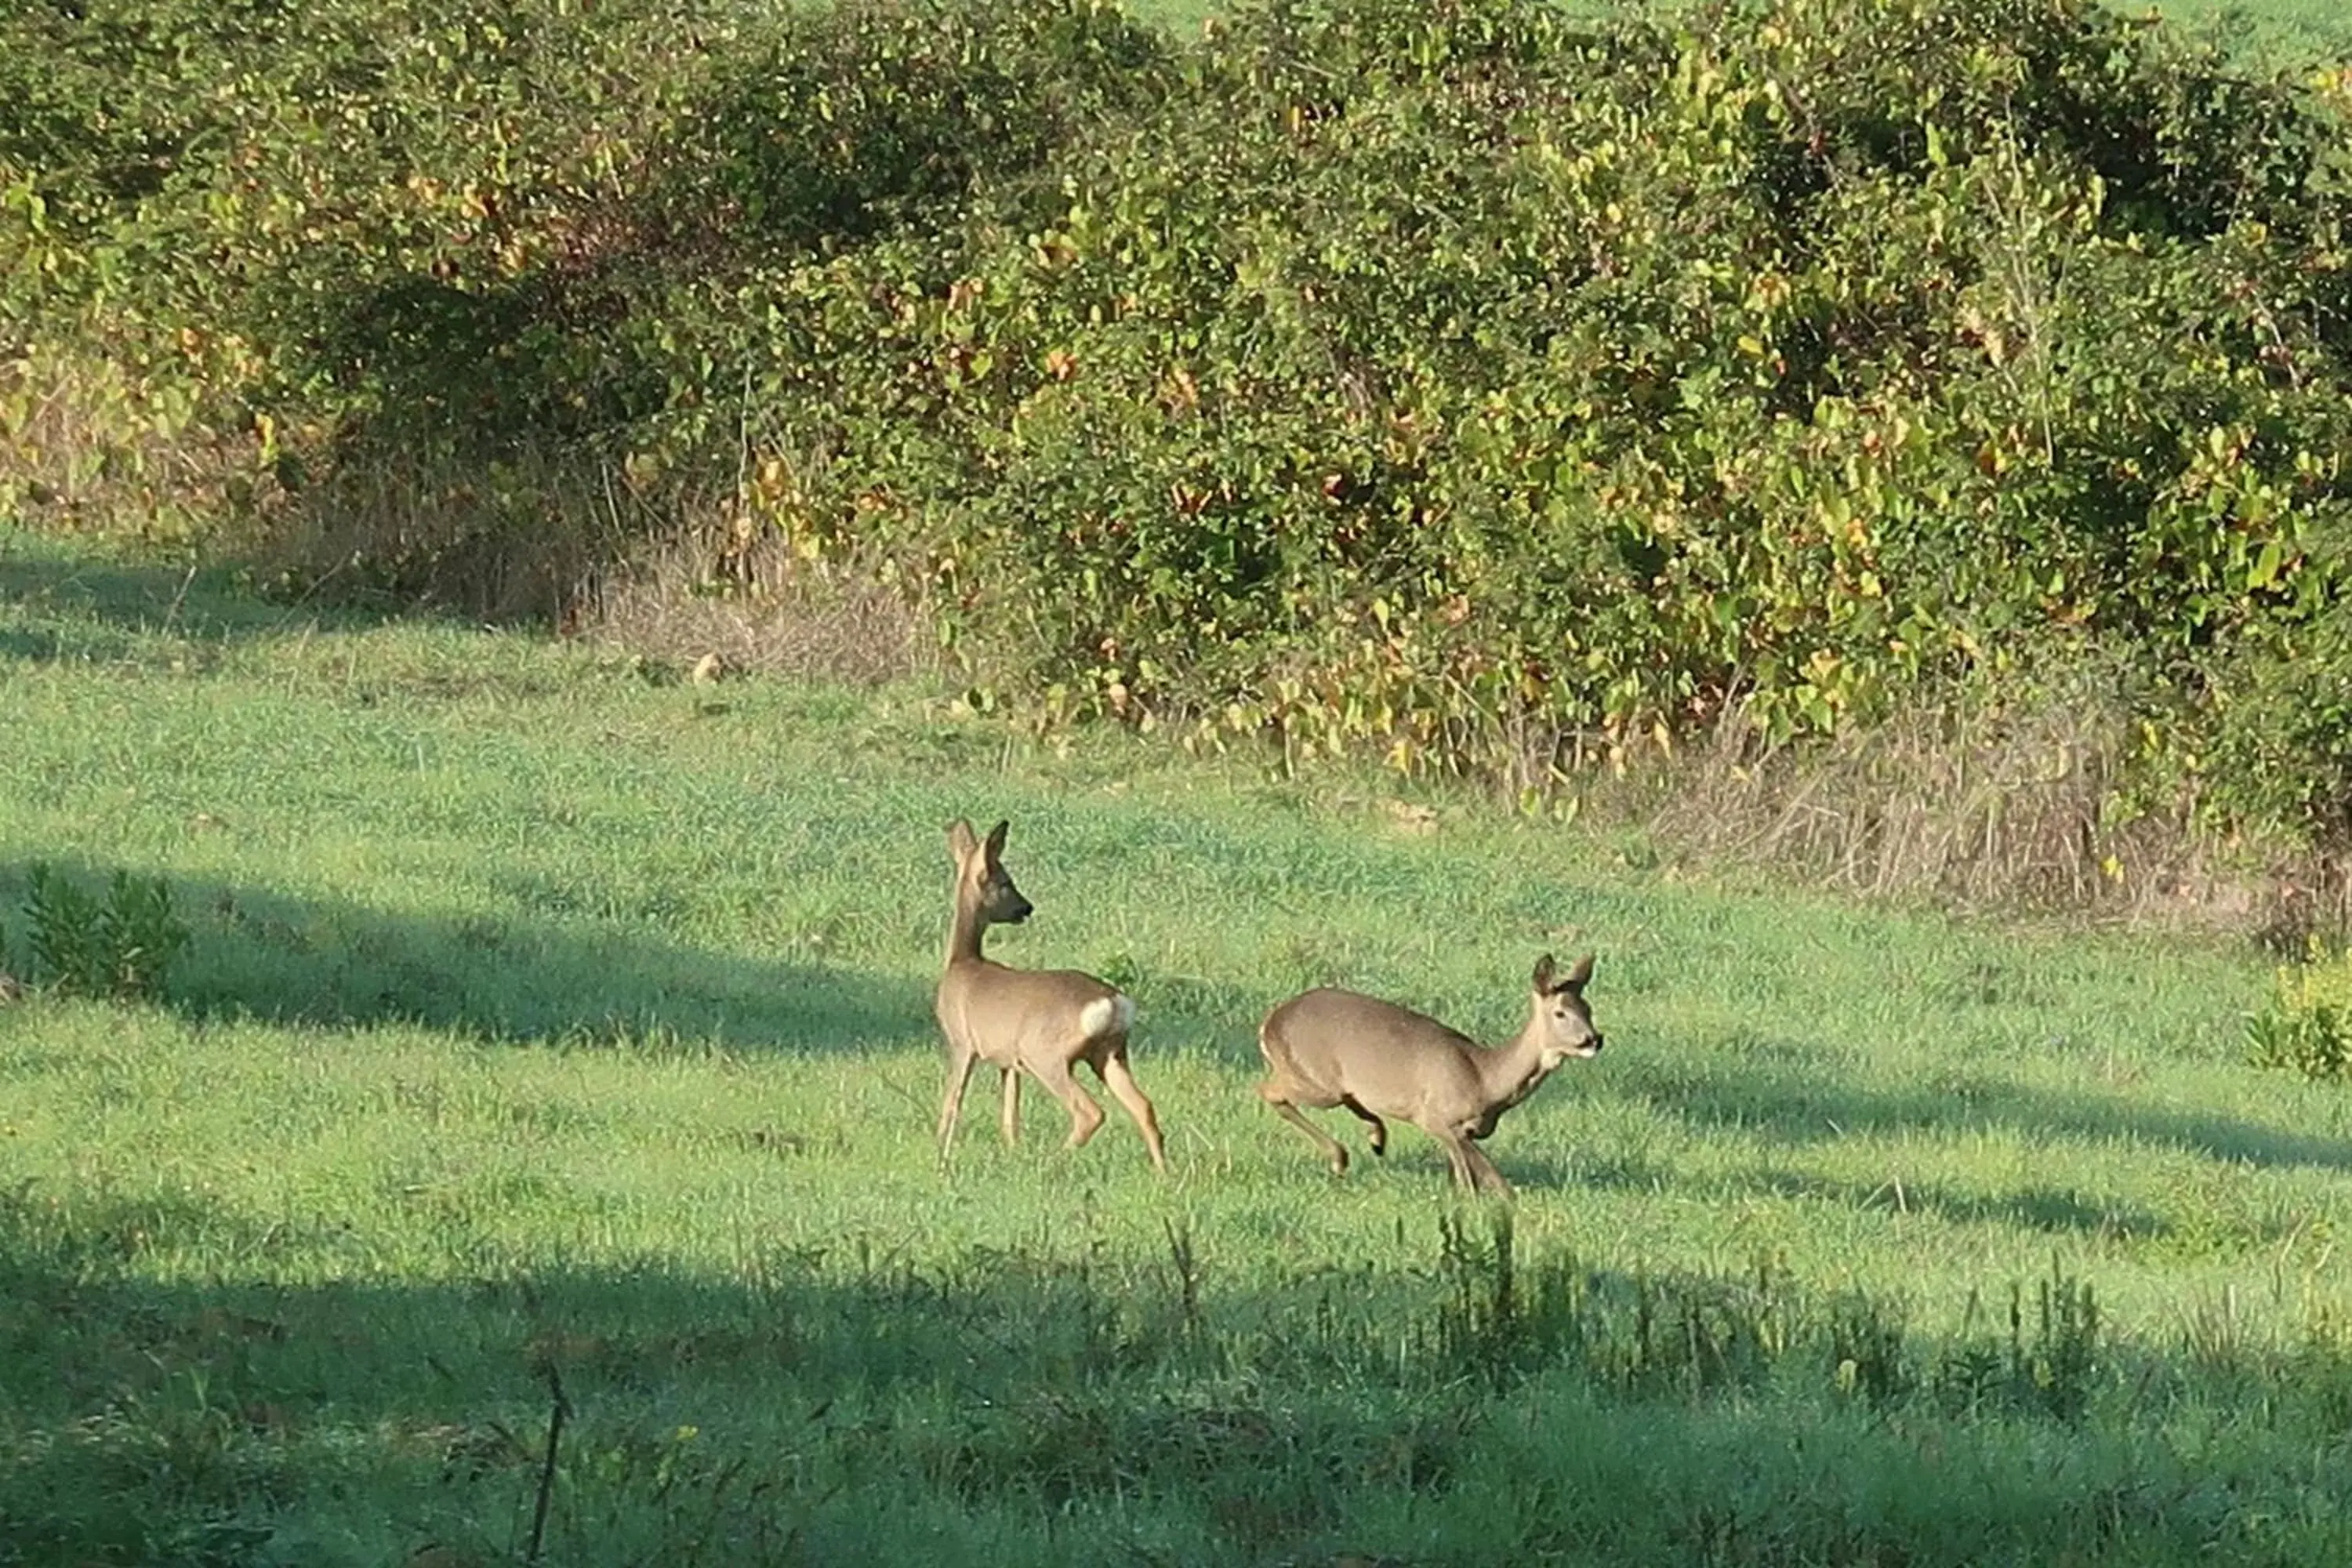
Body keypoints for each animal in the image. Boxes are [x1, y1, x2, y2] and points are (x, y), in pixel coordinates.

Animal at [927, 827, 1167, 1171]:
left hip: (1046, 1053)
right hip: (1109, 1053)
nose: (1026, 907)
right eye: (1006, 882)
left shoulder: (962, 1042)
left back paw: (1054, 1160)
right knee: (1143, 1106)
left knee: (1090, 1111)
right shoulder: (1008, 1061)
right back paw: (1164, 1172)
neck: (962, 962)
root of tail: (1113, 1003)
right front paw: (1011, 1152)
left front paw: (940, 1153)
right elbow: (1010, 1115)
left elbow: (952, 1101)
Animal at [1251, 949, 1618, 1194]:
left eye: (1588, 1008)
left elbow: (1468, 1179)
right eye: (1560, 1013)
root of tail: (1270, 1021)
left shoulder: (1462, 1132)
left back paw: (1376, 1138)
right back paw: (1340, 1157)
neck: (1485, 1080)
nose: (1593, 1039)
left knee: (1350, 1100)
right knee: (1267, 1090)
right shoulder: (1436, 1118)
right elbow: (1486, 1181)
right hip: (1317, 1083)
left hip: (1334, 1085)